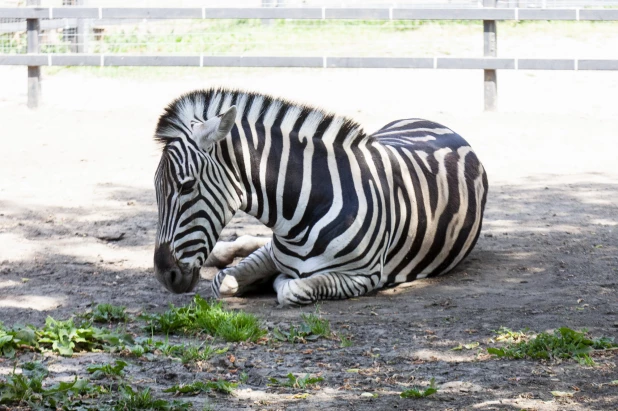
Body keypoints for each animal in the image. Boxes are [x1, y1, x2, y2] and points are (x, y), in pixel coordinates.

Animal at [150, 87, 486, 306]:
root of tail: (437, 123)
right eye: (156, 189)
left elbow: (292, 288)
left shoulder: (362, 276)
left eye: (186, 187)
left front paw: (277, 282)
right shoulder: (274, 254)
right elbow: (225, 281)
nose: (165, 276)